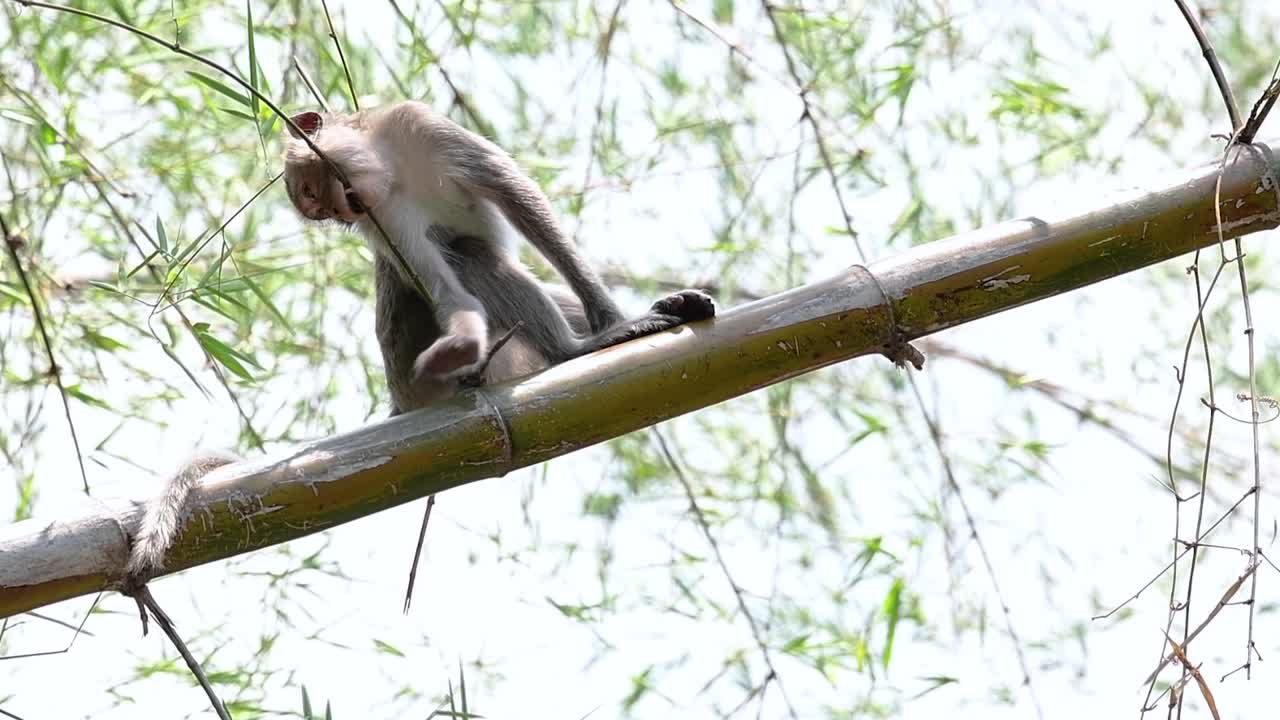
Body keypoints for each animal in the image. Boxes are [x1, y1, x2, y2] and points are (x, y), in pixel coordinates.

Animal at [280, 100, 715, 411]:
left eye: (312, 192)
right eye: (322, 211)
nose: (340, 214)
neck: (391, 169)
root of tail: (402, 401)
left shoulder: (418, 125)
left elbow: (519, 199)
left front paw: (606, 312)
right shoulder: (384, 217)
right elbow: (444, 288)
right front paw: (461, 342)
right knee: (472, 254)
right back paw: (573, 350)